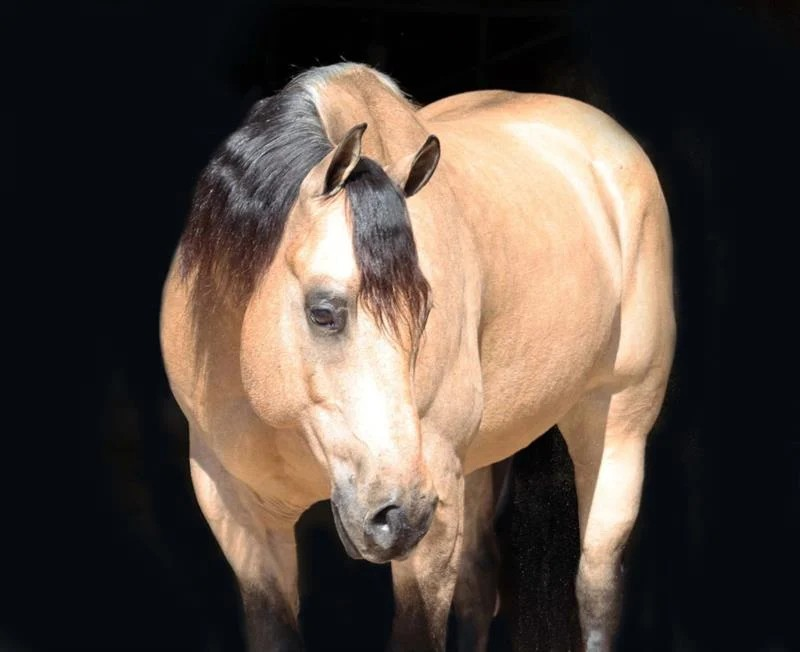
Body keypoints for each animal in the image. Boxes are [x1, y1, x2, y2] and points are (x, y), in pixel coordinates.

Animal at [160, 62, 675, 651]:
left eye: (425, 312)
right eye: (323, 312)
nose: (400, 515)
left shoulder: (435, 511)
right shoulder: (239, 515)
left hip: (616, 429)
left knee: (595, 588)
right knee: (480, 583)